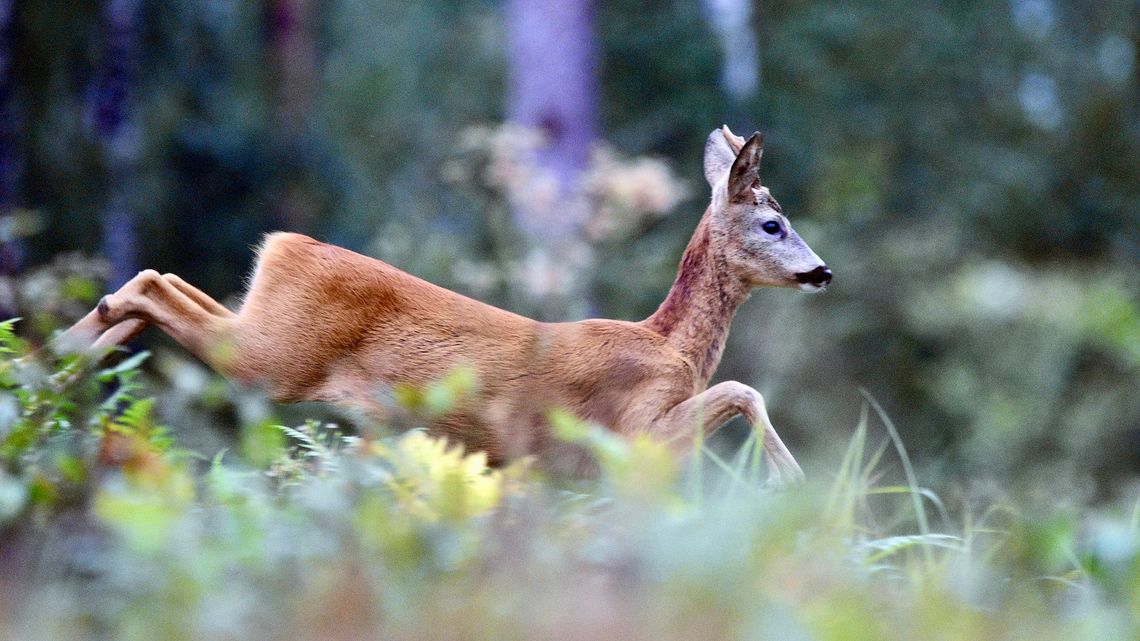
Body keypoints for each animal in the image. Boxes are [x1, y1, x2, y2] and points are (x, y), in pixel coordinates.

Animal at [57, 124, 829, 483]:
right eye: (773, 223)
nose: (822, 272)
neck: (671, 345)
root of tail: (283, 243)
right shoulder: (627, 431)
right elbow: (742, 388)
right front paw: (789, 480)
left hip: (264, 327)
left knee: (157, 279)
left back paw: (57, 362)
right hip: (273, 358)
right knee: (152, 284)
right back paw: (58, 362)